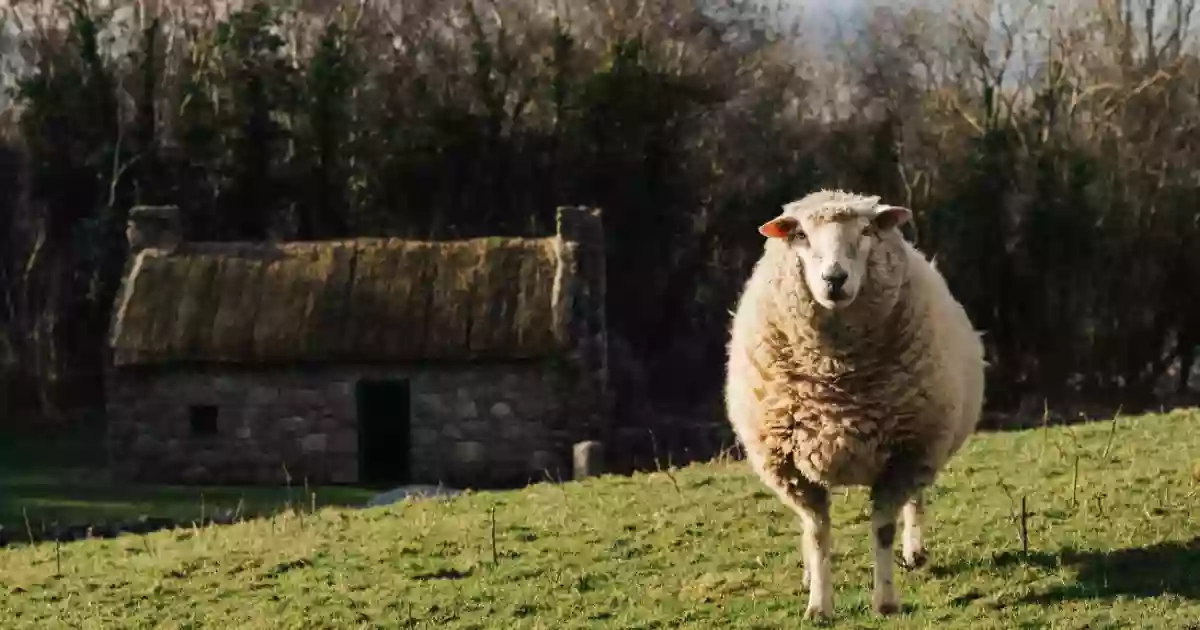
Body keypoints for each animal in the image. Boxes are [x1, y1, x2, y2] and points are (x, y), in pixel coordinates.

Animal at [720, 188, 984, 619]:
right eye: (801, 236)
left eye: (865, 231)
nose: (834, 279)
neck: (836, 381)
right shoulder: (790, 467)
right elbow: (817, 533)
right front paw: (819, 605)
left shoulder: (908, 452)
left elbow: (884, 529)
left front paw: (886, 600)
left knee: (915, 501)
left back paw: (914, 552)